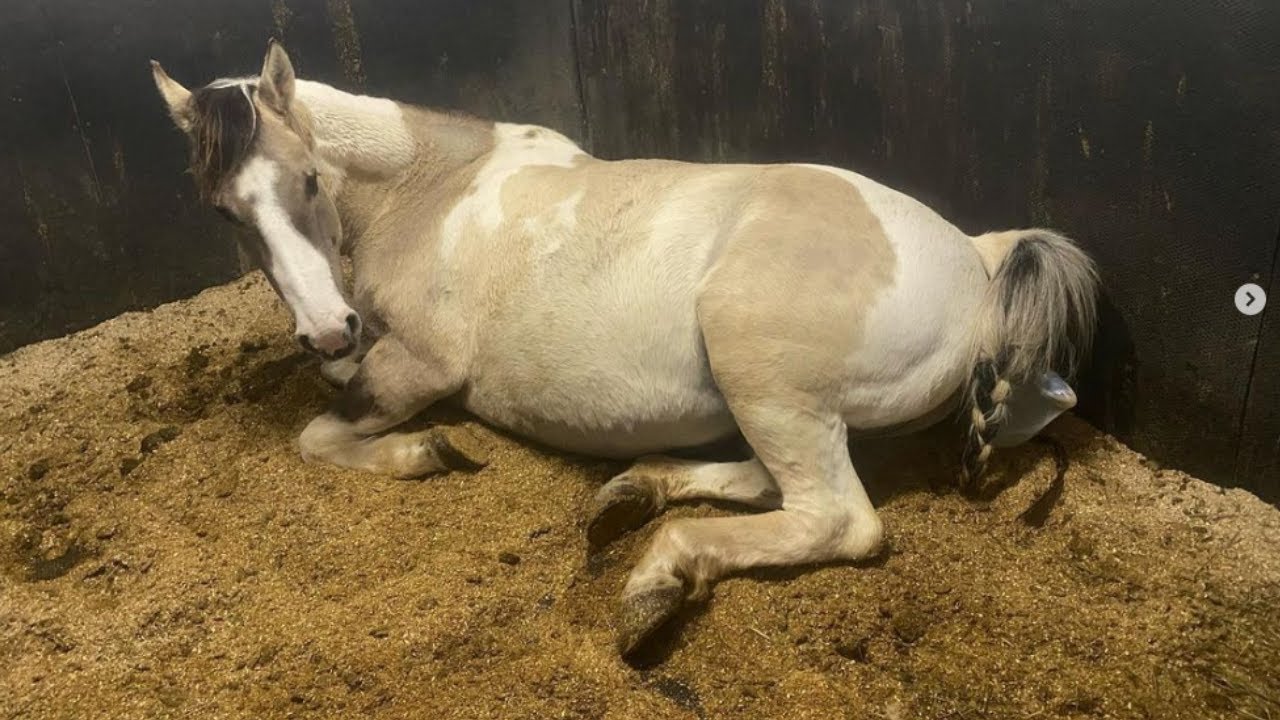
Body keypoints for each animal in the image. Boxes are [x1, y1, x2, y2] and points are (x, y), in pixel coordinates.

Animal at [151, 41, 1098, 657]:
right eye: (225, 211)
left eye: (310, 180)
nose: (325, 328)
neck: (434, 191)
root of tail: (975, 257)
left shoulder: (416, 366)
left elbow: (320, 435)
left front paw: (428, 452)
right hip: (792, 410)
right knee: (771, 482)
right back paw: (636, 494)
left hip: (762, 376)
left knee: (836, 516)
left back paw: (655, 578)